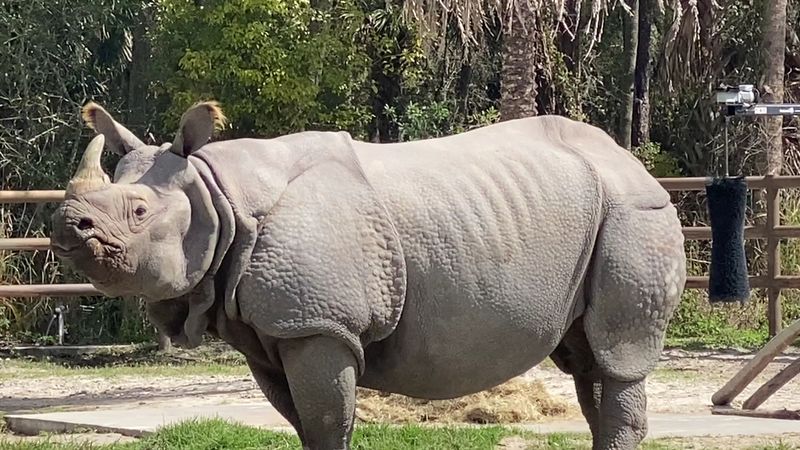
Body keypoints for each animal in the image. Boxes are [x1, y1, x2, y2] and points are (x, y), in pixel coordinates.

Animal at [50, 101, 686, 450]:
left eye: (138, 212)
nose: (65, 225)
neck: (217, 195)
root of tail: (634, 164)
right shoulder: (274, 334)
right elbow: (305, 426)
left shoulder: (317, 325)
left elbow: (329, 425)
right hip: (606, 213)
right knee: (588, 360)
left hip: (636, 214)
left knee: (618, 353)